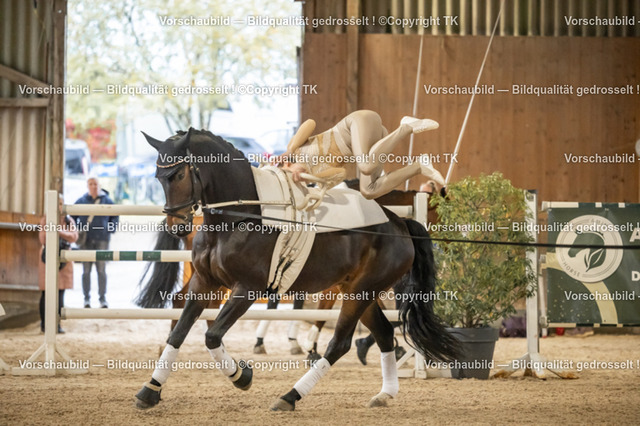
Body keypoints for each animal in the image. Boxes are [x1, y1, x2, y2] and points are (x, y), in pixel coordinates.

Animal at [134, 128, 459, 411]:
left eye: (178, 174)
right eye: (158, 177)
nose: (176, 226)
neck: (238, 217)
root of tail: (399, 223)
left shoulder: (248, 288)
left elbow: (213, 336)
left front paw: (242, 376)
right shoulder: (204, 282)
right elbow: (179, 334)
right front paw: (150, 391)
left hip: (361, 291)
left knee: (339, 344)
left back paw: (289, 397)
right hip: (358, 291)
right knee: (383, 332)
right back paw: (384, 393)